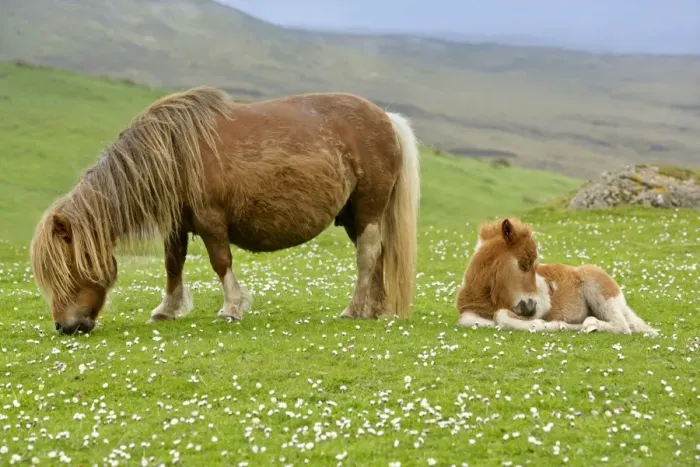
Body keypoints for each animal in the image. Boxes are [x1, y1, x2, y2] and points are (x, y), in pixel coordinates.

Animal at [30, 86, 421, 334]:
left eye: (67, 270)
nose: (65, 326)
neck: (174, 152)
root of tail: (387, 119)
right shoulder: (178, 224)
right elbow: (173, 265)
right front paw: (166, 310)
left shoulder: (210, 220)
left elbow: (221, 262)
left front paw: (232, 308)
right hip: (355, 215)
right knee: (378, 255)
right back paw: (375, 310)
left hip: (368, 209)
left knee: (367, 256)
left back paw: (354, 309)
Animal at [455, 217, 659, 336]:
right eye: (523, 263)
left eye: (534, 265)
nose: (531, 306)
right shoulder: (469, 316)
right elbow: (474, 320)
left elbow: (503, 316)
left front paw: (554, 325)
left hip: (601, 294)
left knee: (622, 326)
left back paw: (590, 325)